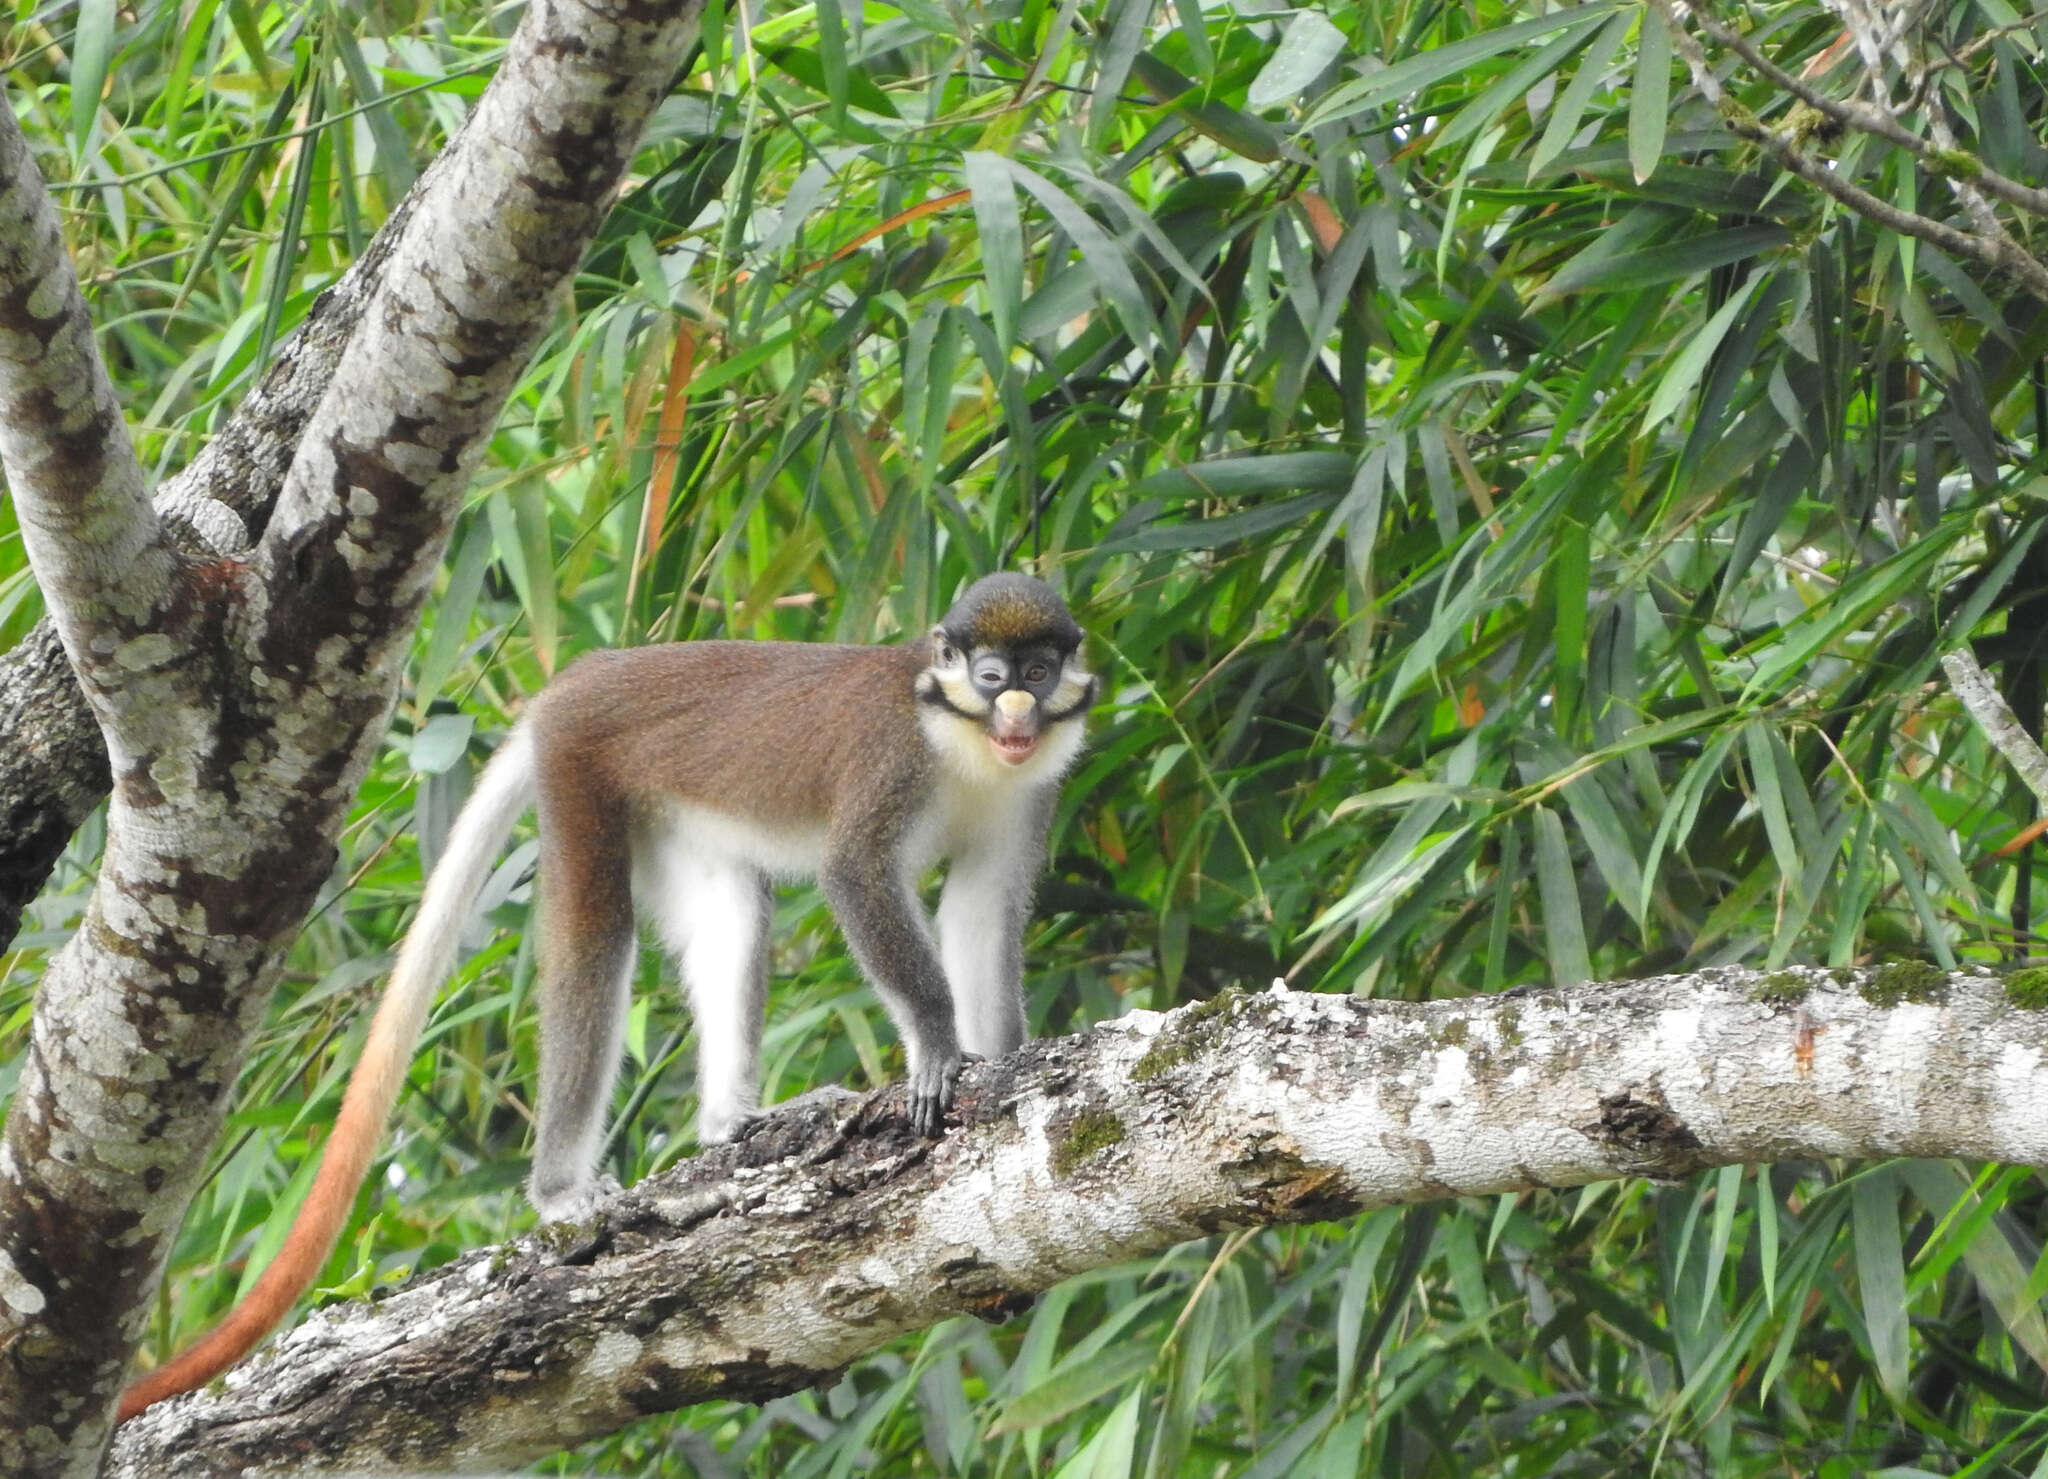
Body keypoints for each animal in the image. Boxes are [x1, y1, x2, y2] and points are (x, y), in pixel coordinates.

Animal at [119, 569, 1097, 1417]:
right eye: (992, 675)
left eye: (1039, 674)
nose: (1017, 708)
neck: (965, 747)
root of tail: (583, 676)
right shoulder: (892, 768)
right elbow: (855, 876)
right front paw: (935, 1048)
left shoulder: (1030, 796)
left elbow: (981, 906)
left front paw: (1002, 1057)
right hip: (580, 767)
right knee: (596, 938)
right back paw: (560, 1189)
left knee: (734, 905)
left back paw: (730, 1121)